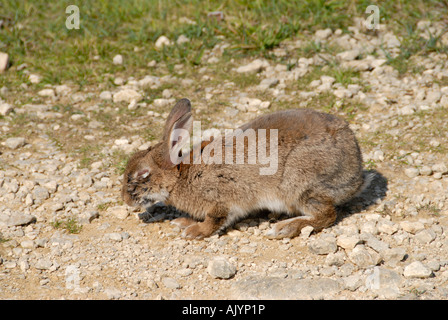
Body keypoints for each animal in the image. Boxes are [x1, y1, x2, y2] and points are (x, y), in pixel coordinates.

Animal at [121, 99, 370, 239]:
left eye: (142, 174)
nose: (125, 199)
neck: (181, 175)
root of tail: (356, 175)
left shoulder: (221, 199)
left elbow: (215, 220)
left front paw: (194, 232)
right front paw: (183, 223)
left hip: (300, 186)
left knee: (326, 215)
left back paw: (284, 228)